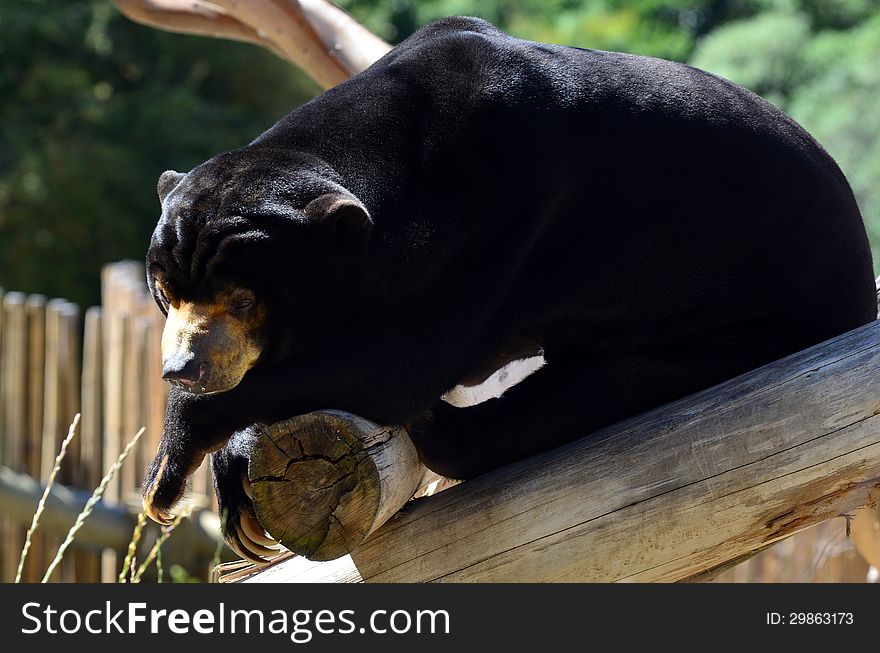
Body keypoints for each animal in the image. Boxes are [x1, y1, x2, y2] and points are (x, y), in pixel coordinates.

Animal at [141, 15, 876, 556]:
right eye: (166, 294)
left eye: (245, 299)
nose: (182, 368)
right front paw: (234, 477)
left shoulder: (509, 210)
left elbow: (403, 363)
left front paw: (168, 475)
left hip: (743, 327)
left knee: (584, 390)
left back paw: (440, 432)